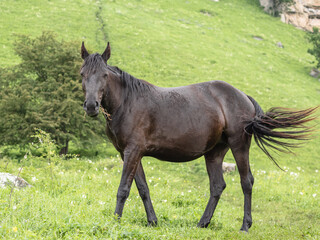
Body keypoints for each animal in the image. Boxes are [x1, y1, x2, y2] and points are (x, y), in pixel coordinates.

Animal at [80, 42, 318, 232]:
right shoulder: (128, 153)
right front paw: (152, 221)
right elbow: (142, 188)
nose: (91, 106)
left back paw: (245, 225)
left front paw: (115, 221)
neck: (127, 102)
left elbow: (123, 189)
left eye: (104, 75)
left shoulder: (133, 151)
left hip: (239, 146)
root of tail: (243, 96)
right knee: (217, 186)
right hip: (214, 153)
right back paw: (203, 223)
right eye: (82, 74)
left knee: (246, 182)